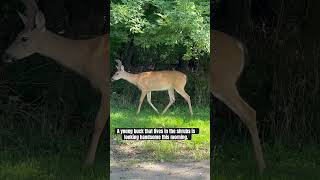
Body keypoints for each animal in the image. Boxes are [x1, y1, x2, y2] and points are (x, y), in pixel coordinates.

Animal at [0, 0, 109, 167]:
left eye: (24, 38)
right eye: (17, 35)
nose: (5, 55)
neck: (87, 57)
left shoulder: (106, 86)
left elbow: (98, 123)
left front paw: (88, 162)